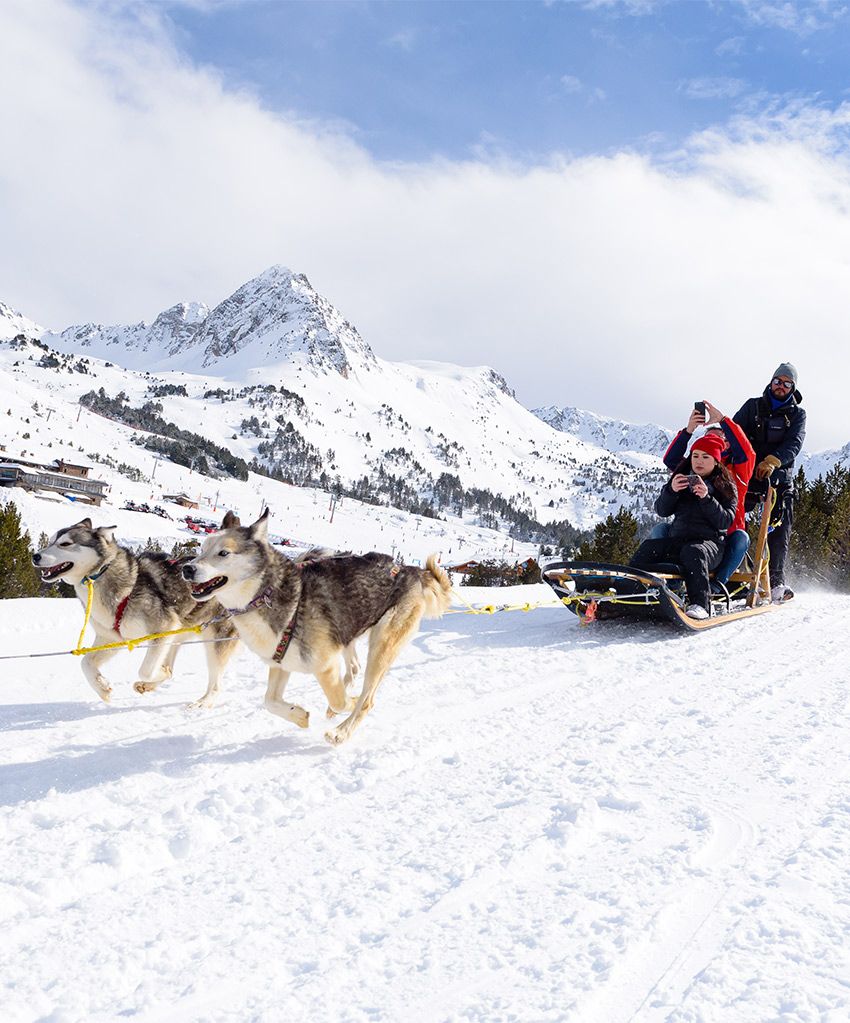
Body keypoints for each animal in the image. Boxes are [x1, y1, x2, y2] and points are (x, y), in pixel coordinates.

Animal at [32, 515, 237, 707]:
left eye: (65, 544)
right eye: (51, 541)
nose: (35, 556)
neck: (102, 573)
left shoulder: (163, 629)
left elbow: (146, 670)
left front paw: (157, 673)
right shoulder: (113, 638)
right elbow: (86, 663)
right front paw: (102, 688)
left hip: (215, 641)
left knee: (215, 683)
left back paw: (202, 702)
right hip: (179, 633)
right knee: (171, 666)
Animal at [184, 509, 456, 744]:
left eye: (223, 553)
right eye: (202, 549)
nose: (187, 568)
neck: (267, 593)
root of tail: (413, 570)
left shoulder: (325, 666)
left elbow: (342, 701)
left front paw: (346, 705)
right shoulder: (281, 662)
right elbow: (269, 701)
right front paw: (299, 715)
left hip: (382, 646)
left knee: (367, 699)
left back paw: (341, 731)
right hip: (348, 632)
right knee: (354, 668)